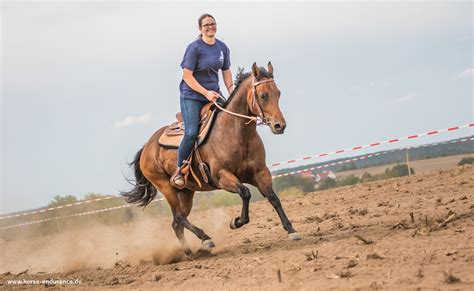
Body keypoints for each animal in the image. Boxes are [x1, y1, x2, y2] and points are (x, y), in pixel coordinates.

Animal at [122, 62, 300, 258]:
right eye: (263, 95)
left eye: (278, 93)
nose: (279, 125)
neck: (236, 133)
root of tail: (147, 147)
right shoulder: (222, 177)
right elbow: (245, 193)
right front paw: (236, 222)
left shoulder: (260, 172)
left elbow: (273, 198)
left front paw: (291, 230)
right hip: (166, 187)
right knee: (179, 217)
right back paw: (205, 238)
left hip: (186, 192)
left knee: (177, 222)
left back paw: (190, 253)